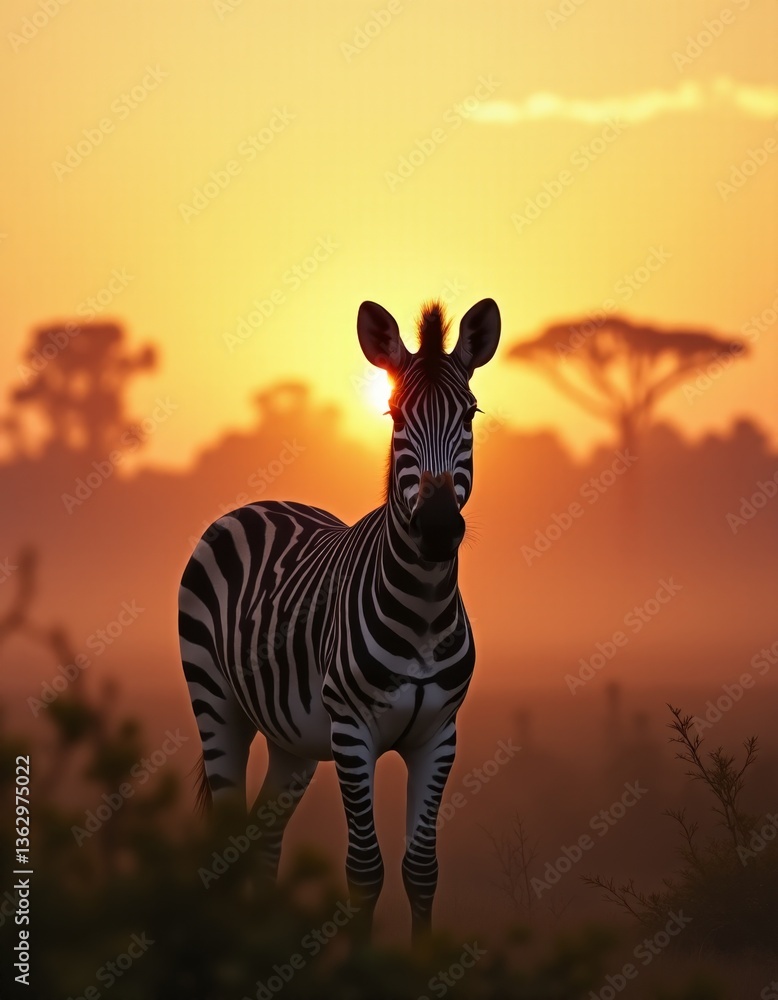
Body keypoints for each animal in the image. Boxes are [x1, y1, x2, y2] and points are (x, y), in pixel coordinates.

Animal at [179, 296, 501, 941]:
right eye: (395, 415)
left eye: (469, 413)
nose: (436, 528)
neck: (424, 608)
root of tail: (260, 502)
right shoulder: (353, 733)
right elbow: (364, 870)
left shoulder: (439, 736)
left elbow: (421, 869)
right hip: (216, 701)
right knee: (227, 839)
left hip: (292, 739)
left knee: (262, 837)